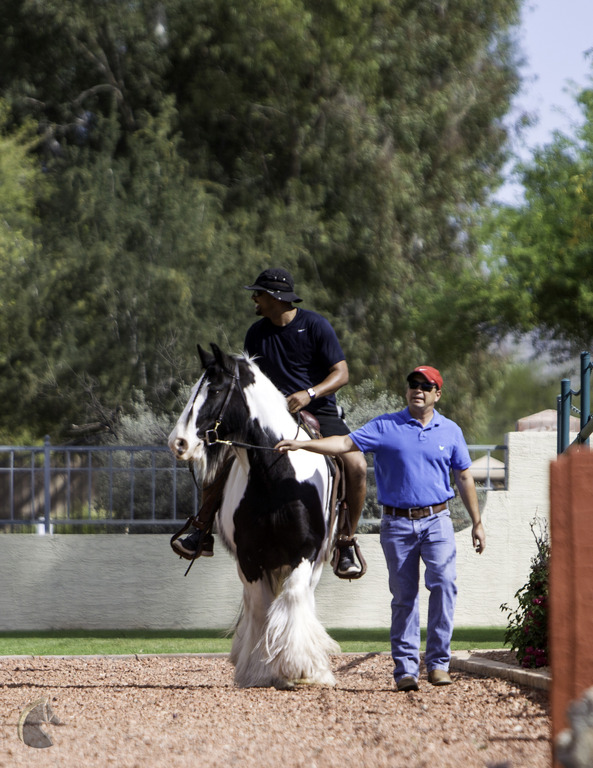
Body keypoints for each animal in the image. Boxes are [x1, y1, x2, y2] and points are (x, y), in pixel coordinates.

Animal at [168, 343, 340, 688]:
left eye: (215, 389)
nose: (178, 442)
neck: (276, 477)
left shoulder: (305, 552)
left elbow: (293, 598)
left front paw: (301, 668)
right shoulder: (249, 558)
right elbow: (261, 609)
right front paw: (261, 669)